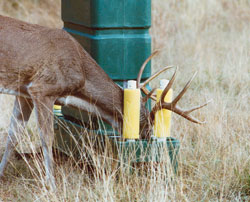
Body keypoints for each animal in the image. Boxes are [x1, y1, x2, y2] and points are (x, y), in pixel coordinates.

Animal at [0, 15, 211, 189]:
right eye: (146, 126)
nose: (146, 141)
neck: (81, 78)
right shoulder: (42, 89)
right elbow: (46, 137)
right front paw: (52, 185)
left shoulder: (24, 93)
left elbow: (13, 136)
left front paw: (1, 175)